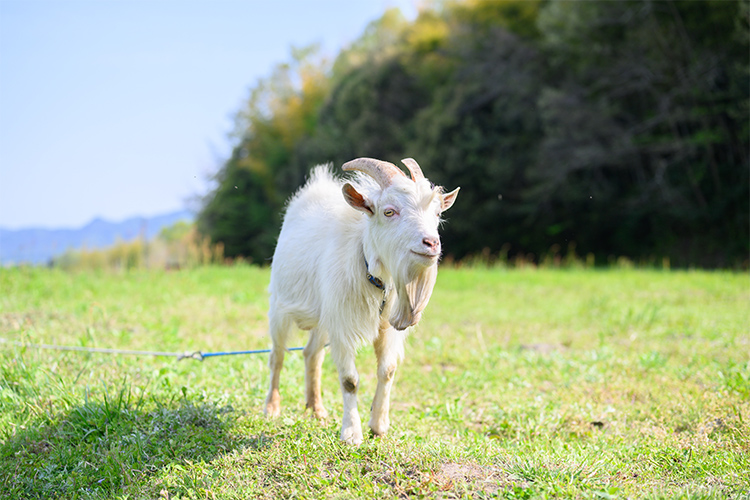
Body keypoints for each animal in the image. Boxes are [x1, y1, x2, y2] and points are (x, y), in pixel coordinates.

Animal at [264, 157, 464, 446]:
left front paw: (379, 426)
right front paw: (351, 433)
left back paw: (316, 409)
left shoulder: (386, 327)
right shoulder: (342, 325)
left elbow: (387, 371)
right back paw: (272, 407)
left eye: (437, 214)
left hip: (324, 317)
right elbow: (349, 380)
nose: (431, 243)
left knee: (311, 354)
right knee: (277, 356)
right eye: (389, 212)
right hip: (280, 307)